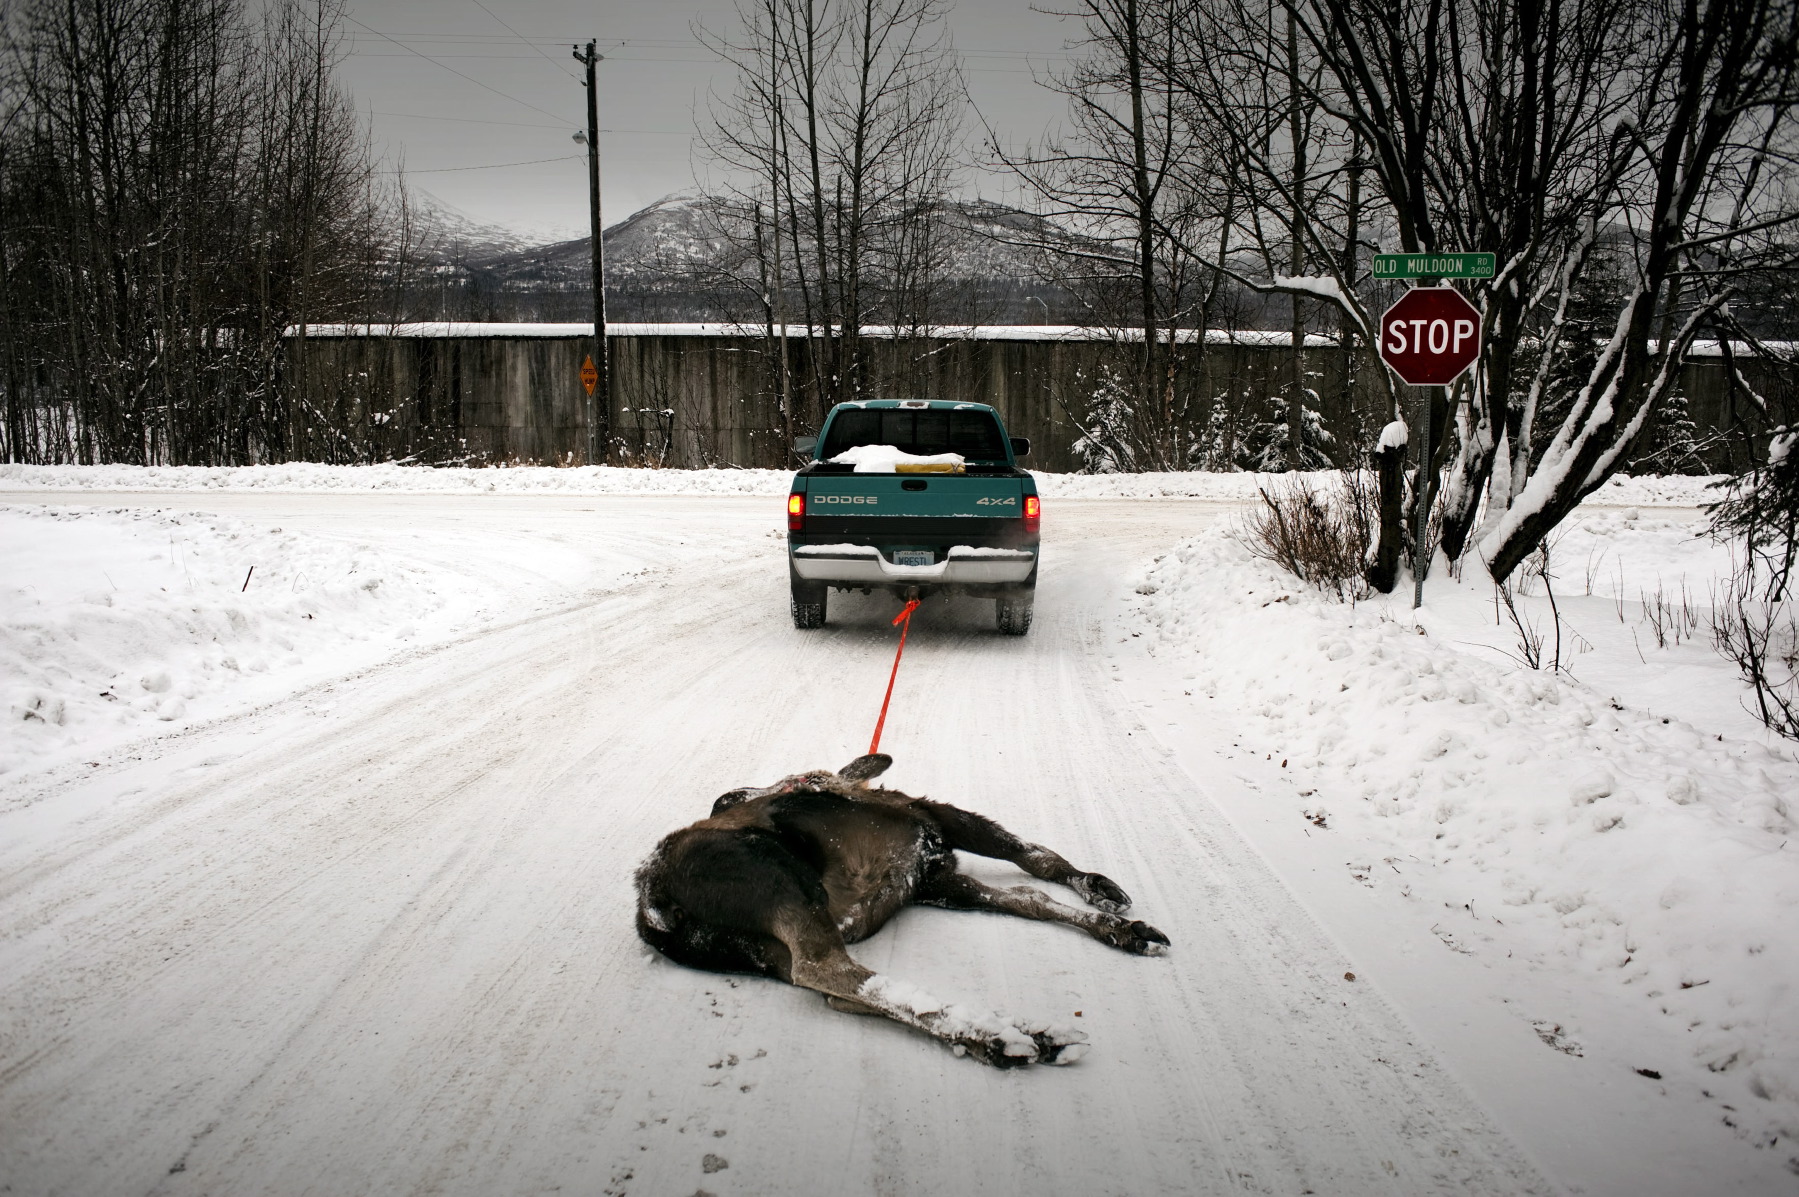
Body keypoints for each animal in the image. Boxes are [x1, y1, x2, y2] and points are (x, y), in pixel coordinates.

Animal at [633, 753, 1169, 1067]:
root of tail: (653, 905)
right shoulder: (939, 819)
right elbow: (1037, 859)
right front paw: (1103, 895)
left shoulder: (937, 878)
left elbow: (1030, 897)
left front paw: (1123, 927)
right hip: (781, 877)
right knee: (827, 969)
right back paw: (1006, 1034)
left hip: (759, 950)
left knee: (842, 992)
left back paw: (1001, 1039)